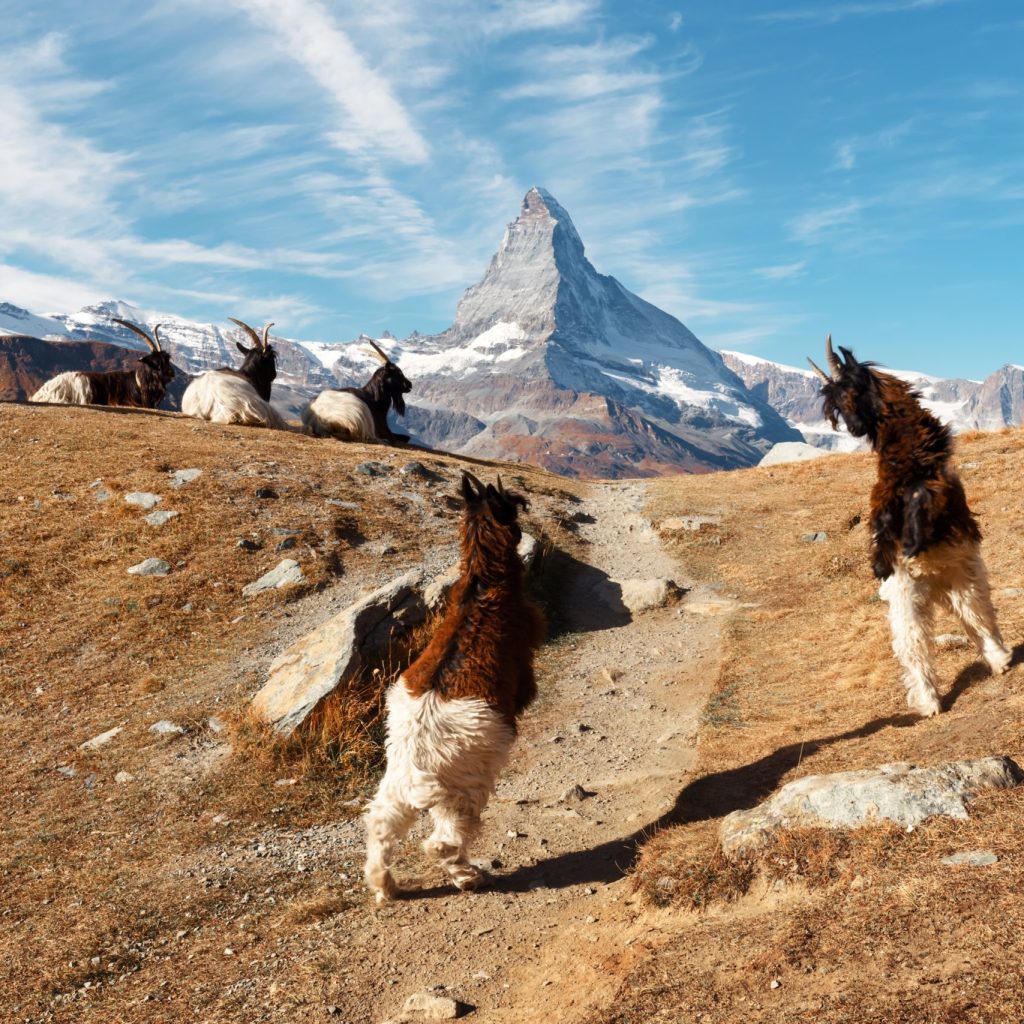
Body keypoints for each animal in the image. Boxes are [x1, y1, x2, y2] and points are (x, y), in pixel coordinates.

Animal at [364, 472, 544, 900]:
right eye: (511, 503)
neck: (481, 588)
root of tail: (417, 769)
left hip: (395, 788)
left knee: (381, 825)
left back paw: (384, 886)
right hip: (464, 789)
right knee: (444, 842)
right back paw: (469, 877)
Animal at [808, 336, 1011, 716]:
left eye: (854, 389)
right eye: (836, 406)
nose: (855, 428)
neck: (910, 456)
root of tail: (935, 585)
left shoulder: (941, 496)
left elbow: (920, 500)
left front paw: (913, 540)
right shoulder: (884, 506)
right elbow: (883, 527)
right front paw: (881, 561)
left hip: (964, 574)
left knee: (977, 615)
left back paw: (999, 659)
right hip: (907, 595)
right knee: (915, 641)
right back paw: (929, 700)